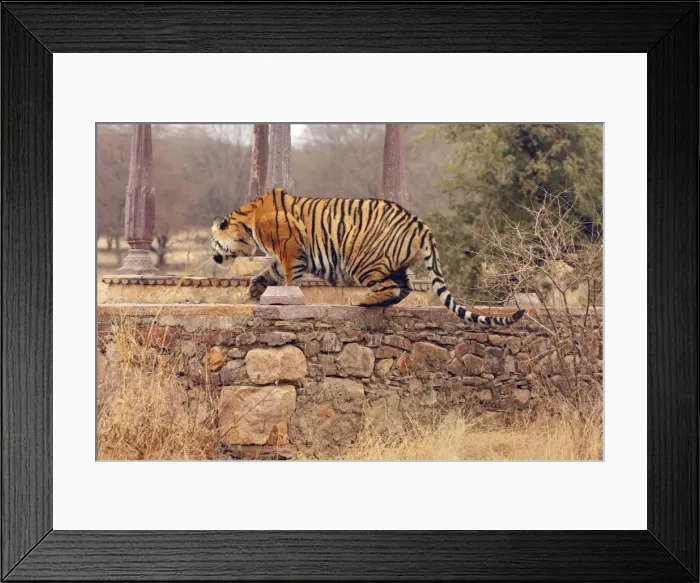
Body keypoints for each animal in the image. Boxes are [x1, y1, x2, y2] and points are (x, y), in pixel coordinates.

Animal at [211, 187, 525, 327]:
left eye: (213, 242)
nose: (213, 258)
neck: (248, 221)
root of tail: (419, 224)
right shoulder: (288, 255)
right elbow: (268, 272)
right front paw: (255, 290)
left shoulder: (290, 250)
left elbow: (287, 276)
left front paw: (284, 296)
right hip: (395, 265)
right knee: (404, 288)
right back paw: (380, 302)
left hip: (362, 261)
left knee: (392, 288)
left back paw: (365, 301)